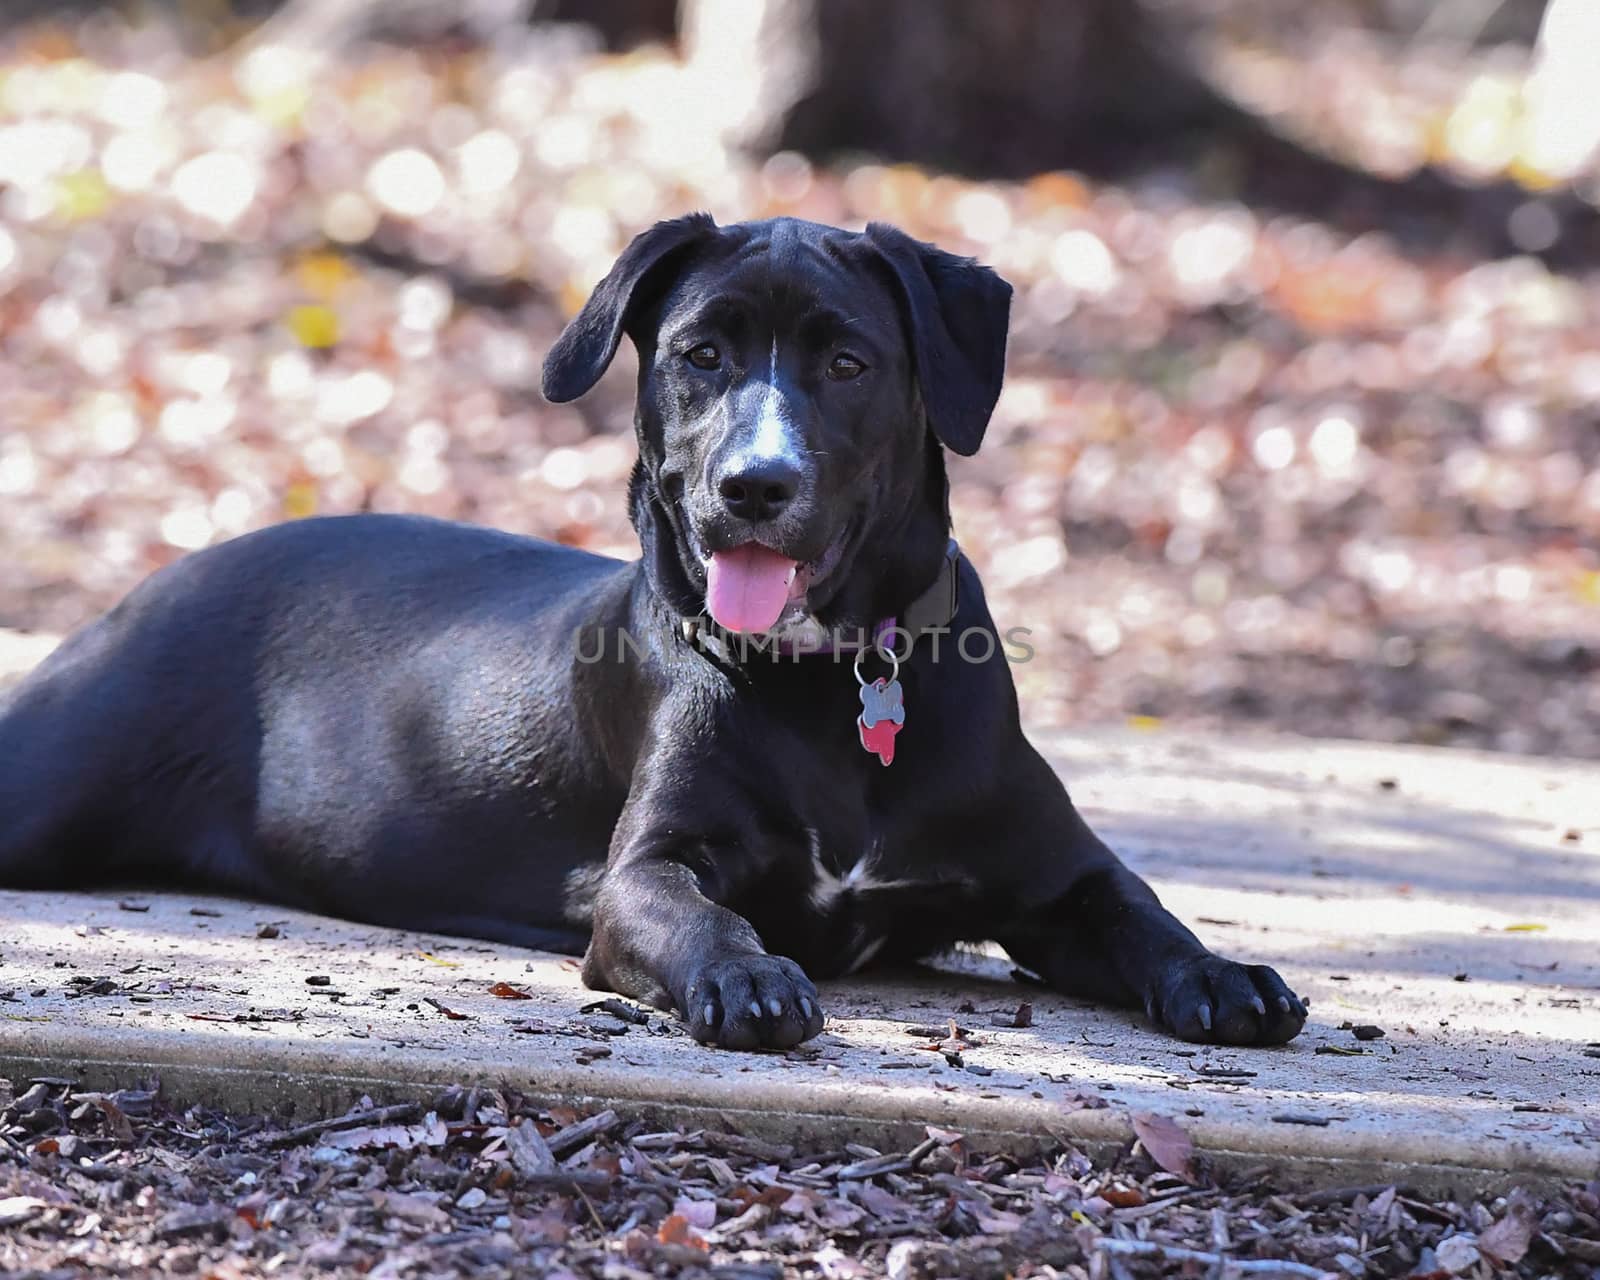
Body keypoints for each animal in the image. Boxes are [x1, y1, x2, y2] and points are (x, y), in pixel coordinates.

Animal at [0, 212, 1299, 1049]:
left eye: (847, 360)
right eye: (700, 353)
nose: (753, 485)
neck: (833, 680)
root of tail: (161, 578)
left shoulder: (1055, 872)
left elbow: (1142, 912)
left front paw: (1224, 974)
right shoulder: (642, 872)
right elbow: (692, 911)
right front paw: (748, 975)